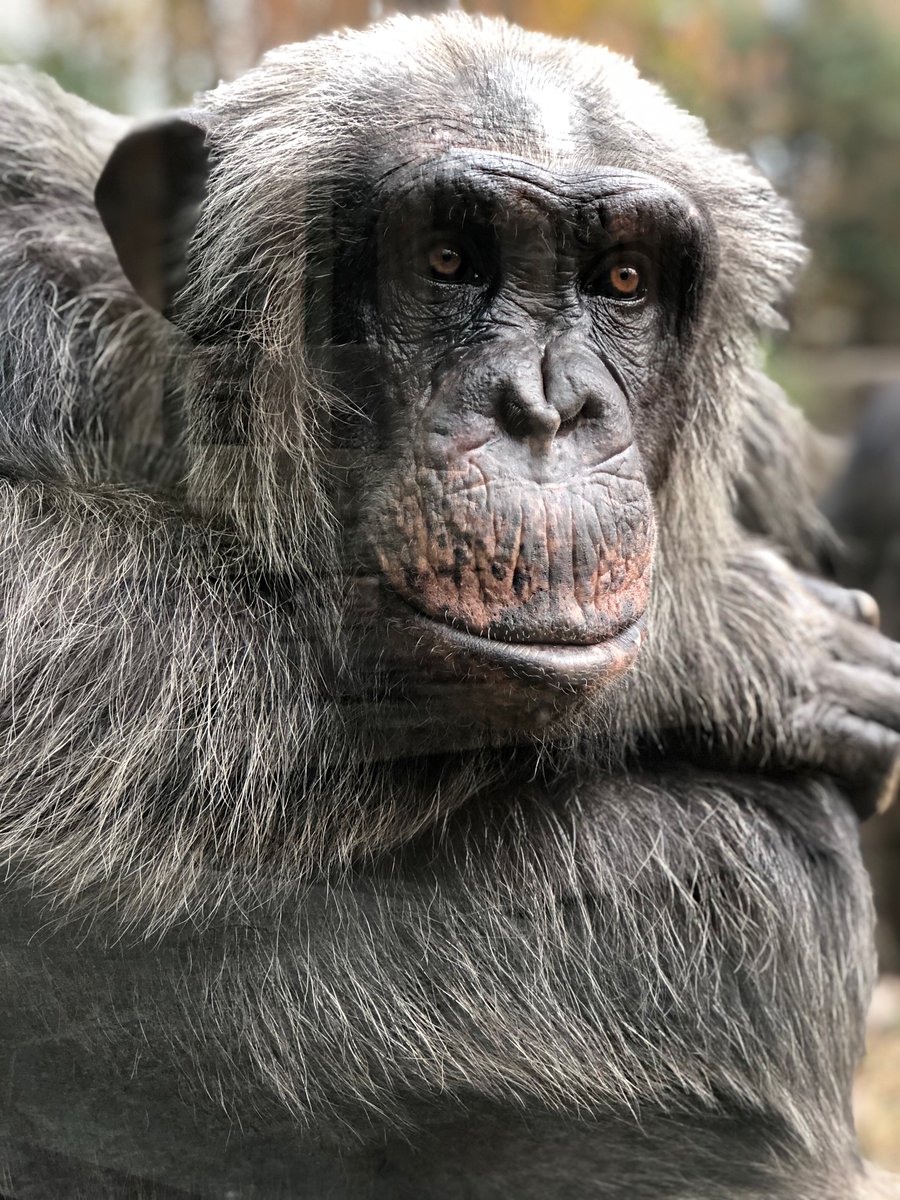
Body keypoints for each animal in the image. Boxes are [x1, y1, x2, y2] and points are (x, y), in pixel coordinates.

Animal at [0, 15, 899, 1199]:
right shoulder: (25, 283)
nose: (549, 408)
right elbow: (30, 598)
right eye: (445, 262)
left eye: (623, 279)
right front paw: (737, 634)